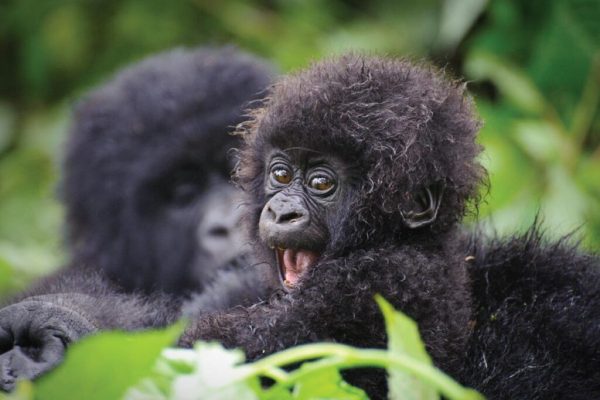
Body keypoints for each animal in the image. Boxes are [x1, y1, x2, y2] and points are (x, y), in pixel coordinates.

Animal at [1, 54, 600, 398]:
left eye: (321, 184)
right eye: (280, 174)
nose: (280, 212)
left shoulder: (382, 282)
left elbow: (240, 357)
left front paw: (69, 337)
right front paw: (67, 317)